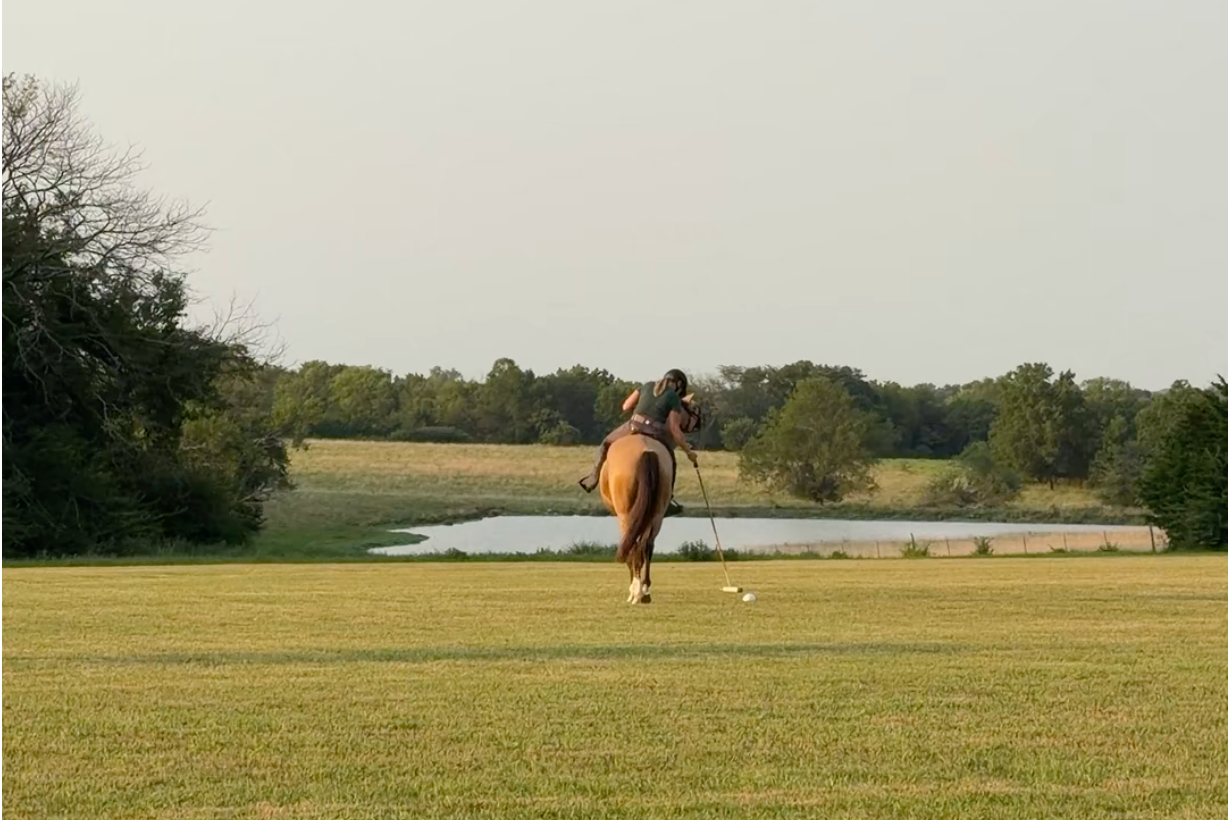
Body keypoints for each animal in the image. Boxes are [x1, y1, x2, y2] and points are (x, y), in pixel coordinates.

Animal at [597, 397, 705, 604]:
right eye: (693, 407)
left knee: (634, 545)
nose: (700, 423)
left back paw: (637, 591)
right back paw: (643, 590)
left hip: (627, 513)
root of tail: (646, 451)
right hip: (656, 512)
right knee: (645, 545)